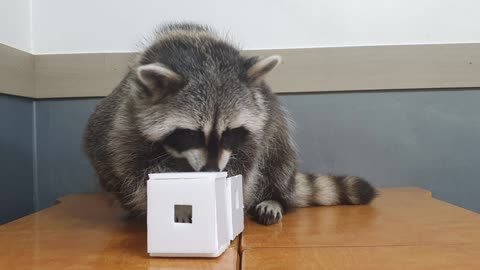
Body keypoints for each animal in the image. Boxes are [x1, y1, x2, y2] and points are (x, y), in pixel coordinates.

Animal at [82, 23, 376, 226]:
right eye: (191, 134)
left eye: (231, 132)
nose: (212, 169)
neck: (200, 53)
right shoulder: (124, 122)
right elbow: (131, 168)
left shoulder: (257, 125)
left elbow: (245, 167)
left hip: (277, 126)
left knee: (279, 158)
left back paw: (276, 196)